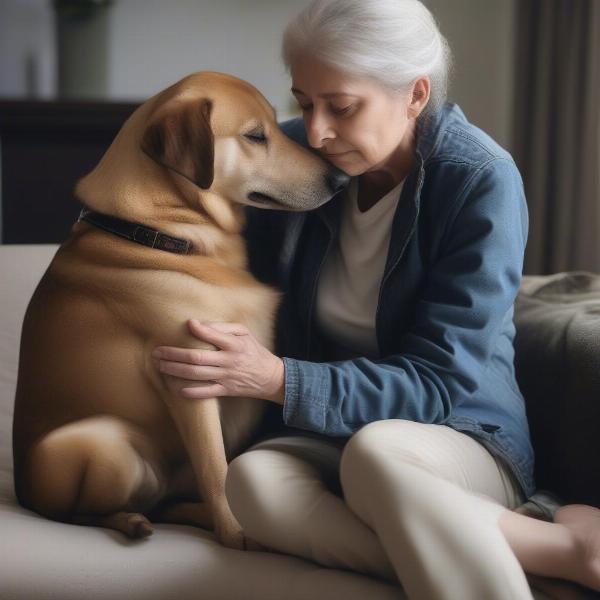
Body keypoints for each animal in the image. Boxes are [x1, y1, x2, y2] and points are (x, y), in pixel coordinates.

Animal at [11, 70, 346, 548]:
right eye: (255, 136)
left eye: (279, 126)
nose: (340, 179)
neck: (159, 232)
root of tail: (22, 493)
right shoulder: (191, 378)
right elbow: (217, 469)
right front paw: (235, 530)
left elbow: (223, 464)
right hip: (102, 444)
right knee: (75, 514)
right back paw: (131, 521)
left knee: (163, 504)